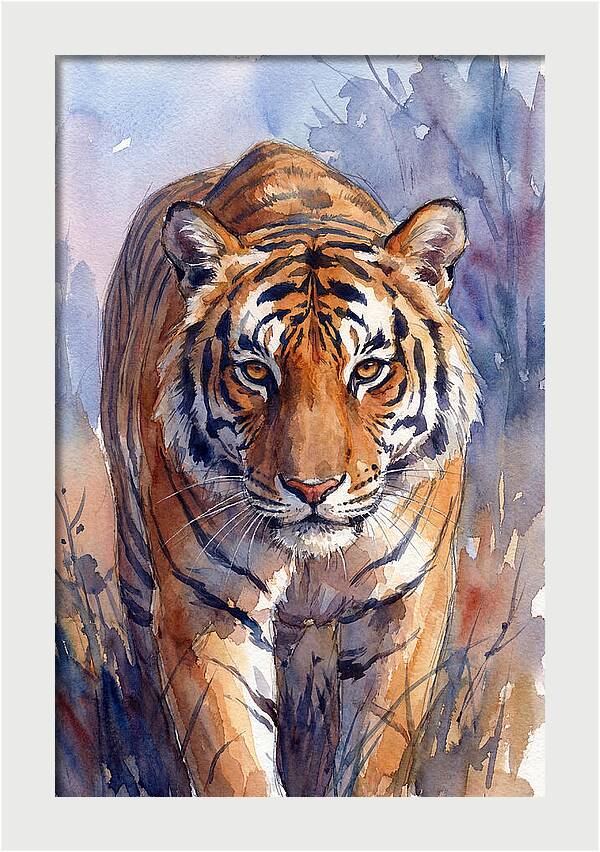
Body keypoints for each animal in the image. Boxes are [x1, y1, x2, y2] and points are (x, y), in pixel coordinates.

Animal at [101, 140, 479, 797]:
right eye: (256, 372)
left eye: (368, 370)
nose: (312, 488)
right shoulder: (207, 605)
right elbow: (234, 765)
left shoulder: (407, 603)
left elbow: (376, 754)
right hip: (135, 555)